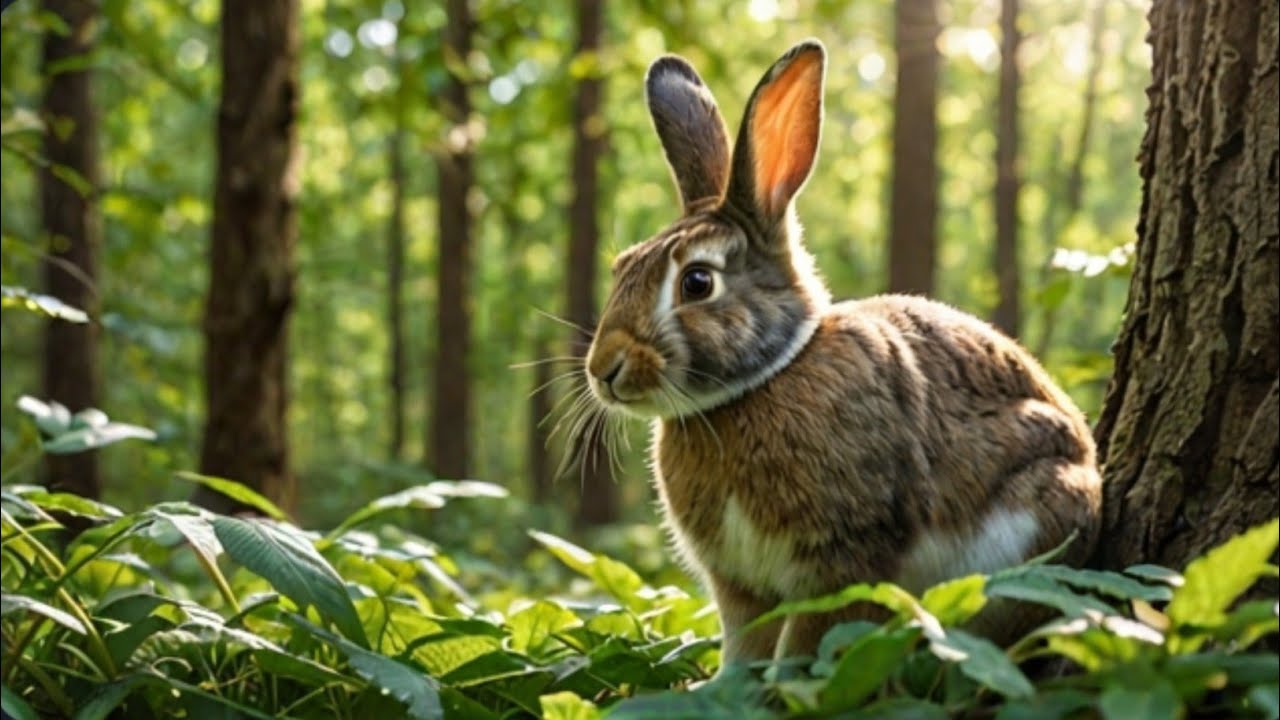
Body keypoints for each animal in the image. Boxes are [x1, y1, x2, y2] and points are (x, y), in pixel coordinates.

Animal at [582, 39, 1102, 665]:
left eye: (697, 283)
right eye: (620, 268)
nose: (602, 370)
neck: (757, 385)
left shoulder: (844, 559)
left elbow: (807, 642)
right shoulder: (741, 586)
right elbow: (745, 650)